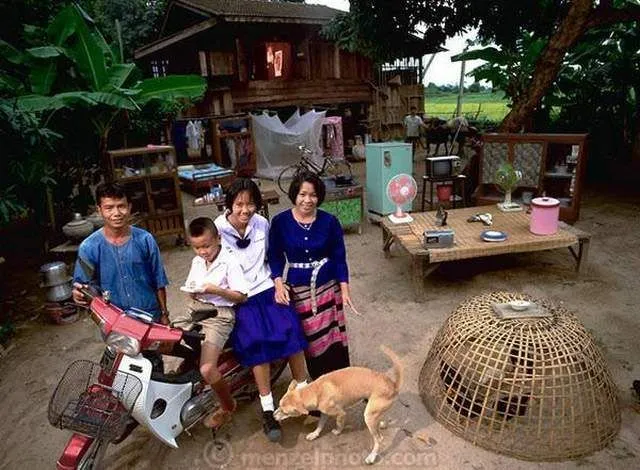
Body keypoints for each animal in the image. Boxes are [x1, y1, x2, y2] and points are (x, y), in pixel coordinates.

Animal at [273, 346, 403, 465]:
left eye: (285, 412)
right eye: (279, 405)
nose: (273, 415)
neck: (315, 390)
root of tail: (393, 385)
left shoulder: (340, 413)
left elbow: (339, 423)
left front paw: (338, 431)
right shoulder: (324, 413)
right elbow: (320, 425)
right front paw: (314, 434)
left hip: (369, 417)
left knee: (379, 439)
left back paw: (372, 457)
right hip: (372, 410)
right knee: (380, 418)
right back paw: (382, 424)